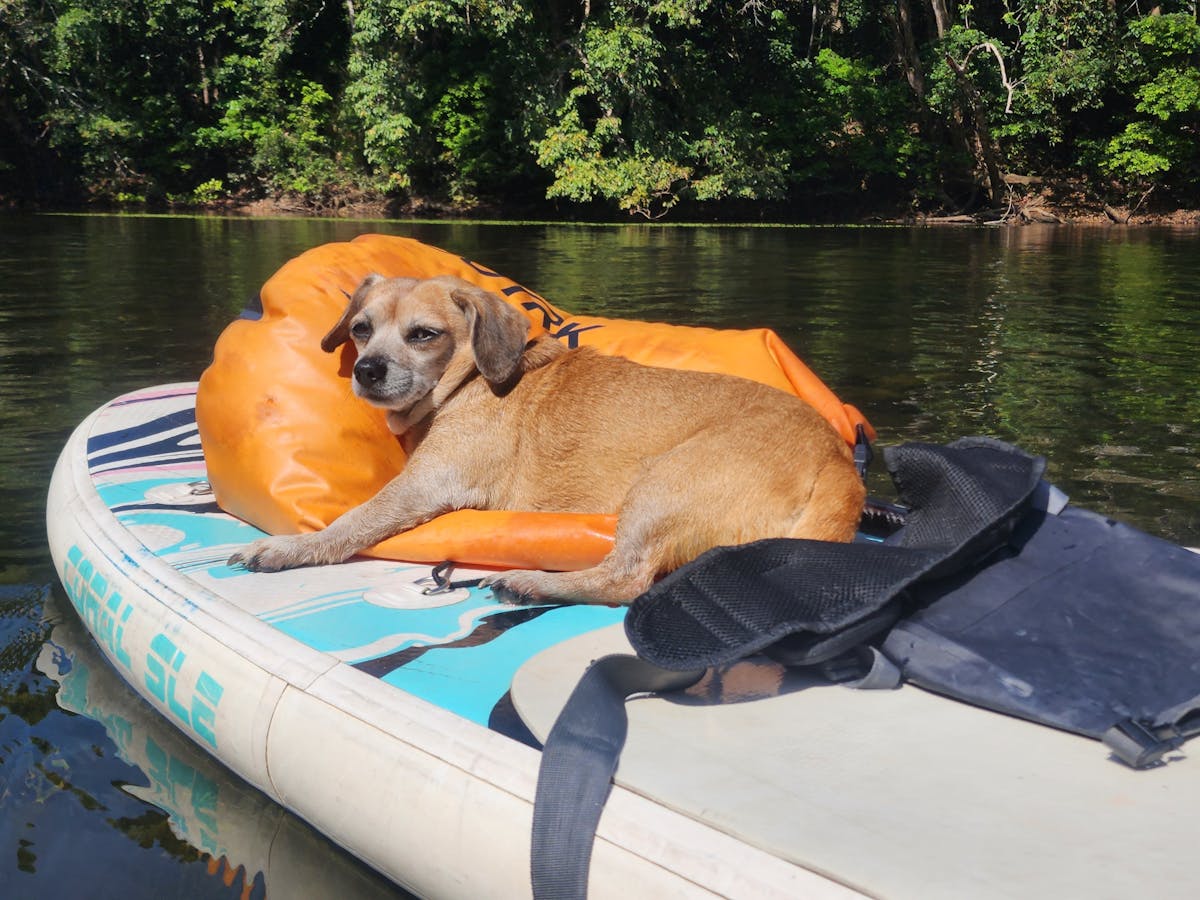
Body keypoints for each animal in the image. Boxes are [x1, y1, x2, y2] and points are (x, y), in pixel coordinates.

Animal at [226, 271, 864, 602]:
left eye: (424, 334)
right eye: (361, 328)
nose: (367, 370)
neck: (467, 383)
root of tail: (838, 465)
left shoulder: (427, 485)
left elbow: (351, 521)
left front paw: (286, 548)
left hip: (664, 482)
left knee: (627, 579)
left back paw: (531, 581)